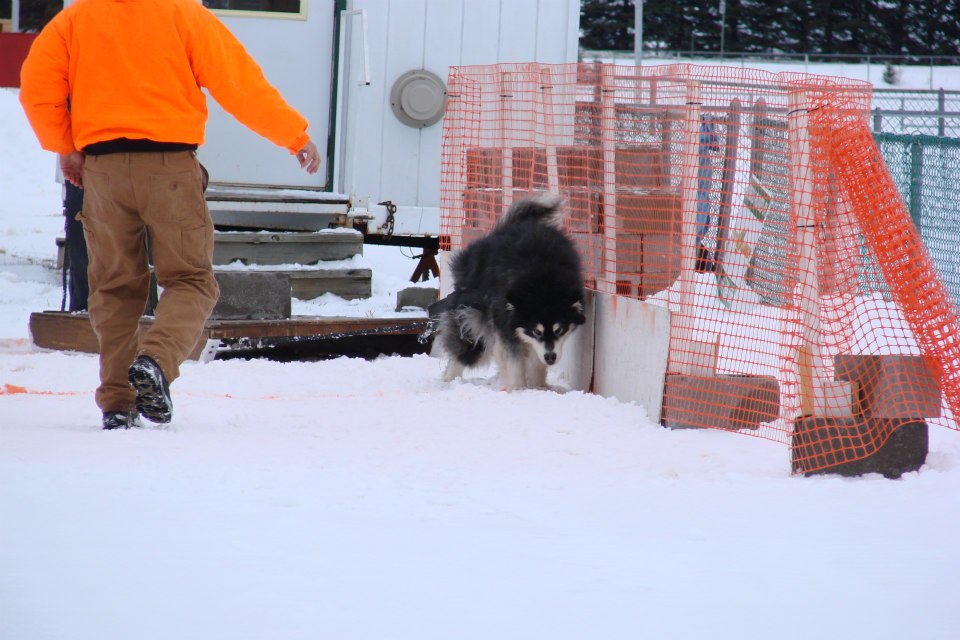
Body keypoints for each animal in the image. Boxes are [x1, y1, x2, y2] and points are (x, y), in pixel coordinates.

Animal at [434, 194, 584, 390]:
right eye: (536, 332)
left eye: (559, 330)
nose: (550, 358)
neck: (542, 281)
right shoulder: (505, 325)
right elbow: (513, 360)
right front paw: (518, 388)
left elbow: (536, 361)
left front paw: (539, 387)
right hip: (472, 318)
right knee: (465, 350)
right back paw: (449, 380)